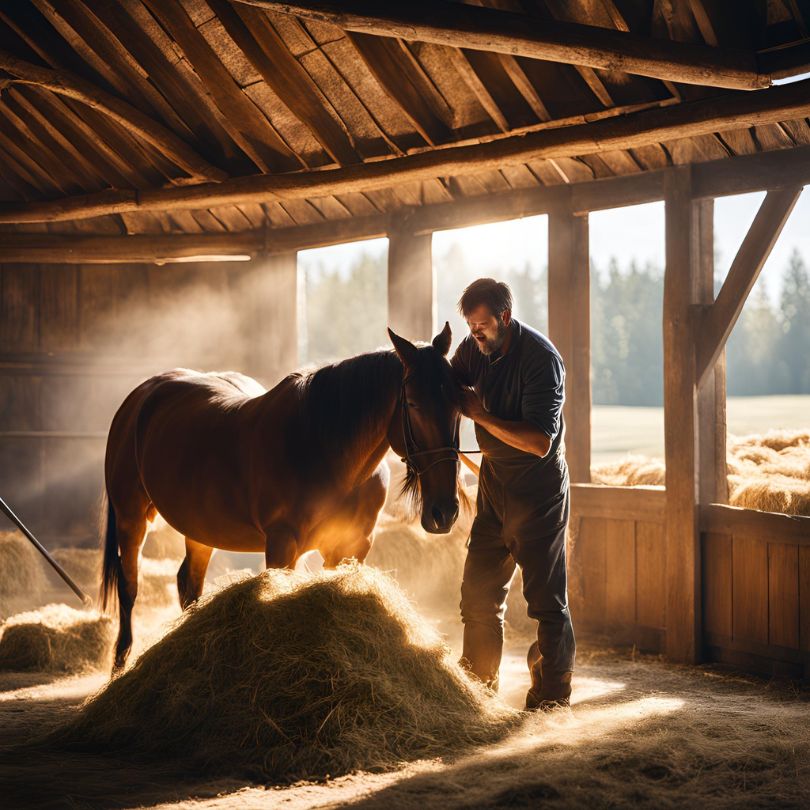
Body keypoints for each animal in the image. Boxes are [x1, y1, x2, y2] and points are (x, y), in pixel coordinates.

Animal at [99, 322, 460, 668]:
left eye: (459, 405)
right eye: (412, 403)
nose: (444, 512)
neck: (326, 450)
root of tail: (142, 396)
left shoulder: (352, 547)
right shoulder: (283, 545)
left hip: (199, 530)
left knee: (189, 584)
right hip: (131, 518)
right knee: (129, 586)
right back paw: (120, 663)